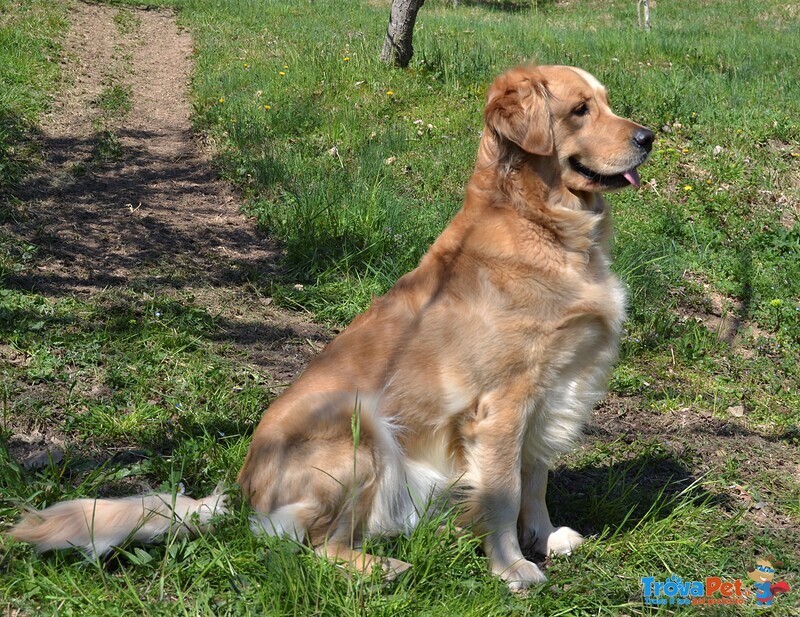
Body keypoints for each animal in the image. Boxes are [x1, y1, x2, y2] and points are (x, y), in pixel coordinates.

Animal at [10, 65, 648, 588]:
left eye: (606, 102)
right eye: (580, 110)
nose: (648, 137)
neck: (542, 224)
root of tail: (241, 491)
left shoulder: (555, 388)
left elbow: (534, 477)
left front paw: (544, 536)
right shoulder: (502, 405)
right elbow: (503, 491)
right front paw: (512, 566)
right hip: (357, 425)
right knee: (308, 543)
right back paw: (383, 567)